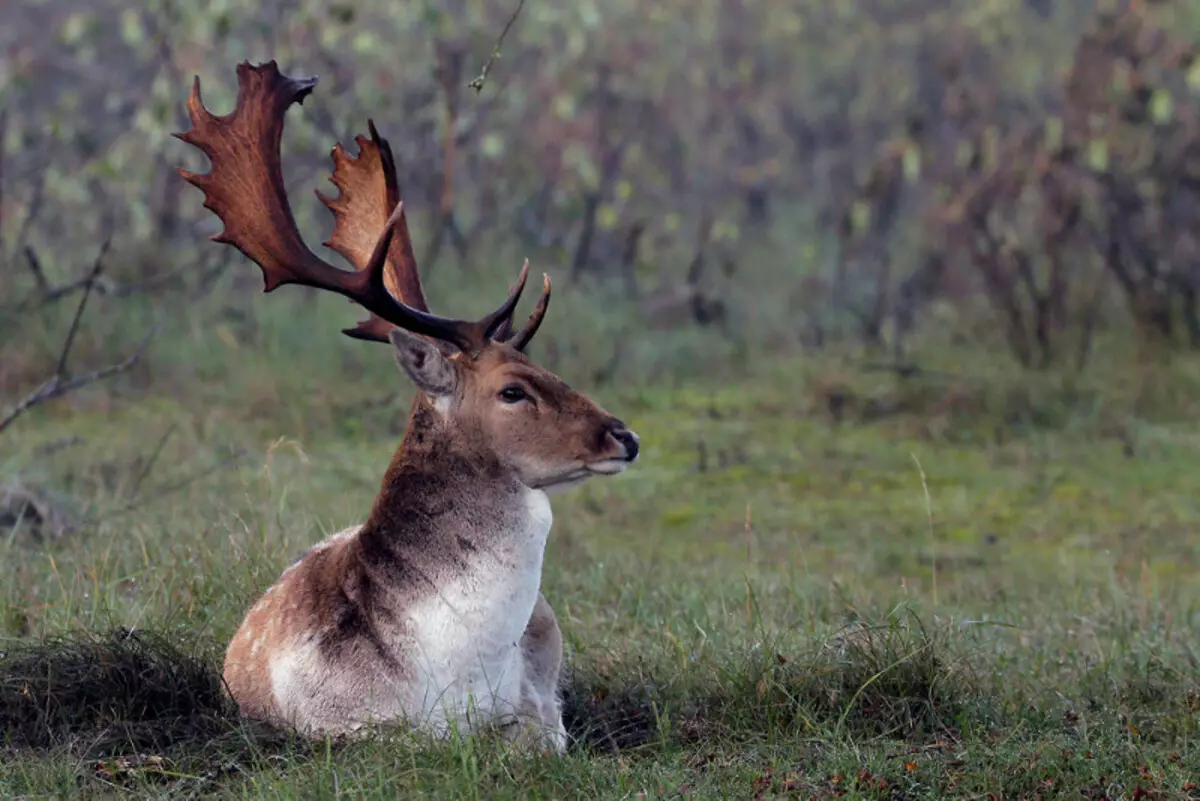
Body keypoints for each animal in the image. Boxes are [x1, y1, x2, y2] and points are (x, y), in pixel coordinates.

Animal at [175, 61, 643, 753]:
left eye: (547, 368)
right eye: (512, 389)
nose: (623, 436)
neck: (451, 676)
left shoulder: (539, 706)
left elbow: (538, 734)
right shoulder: (344, 729)